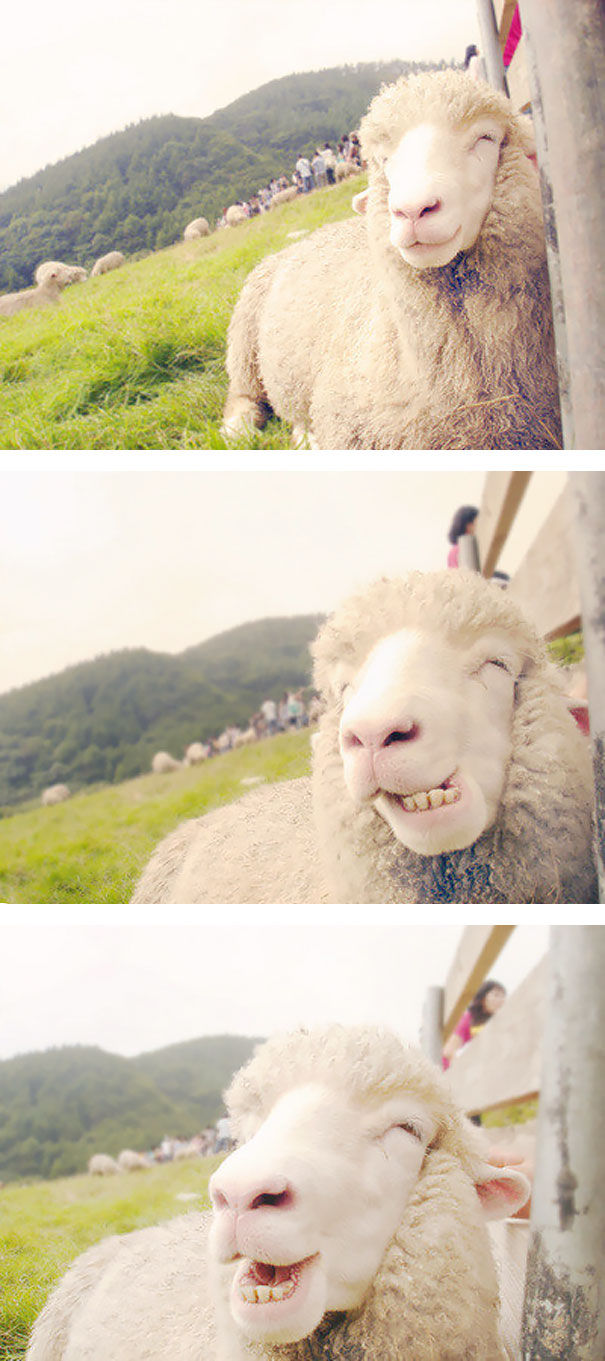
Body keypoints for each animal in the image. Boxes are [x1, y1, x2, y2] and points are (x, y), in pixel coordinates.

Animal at [221, 69, 561, 450]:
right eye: (384, 160)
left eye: (486, 138)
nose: (412, 210)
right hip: (244, 344)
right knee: (243, 396)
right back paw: (241, 428)